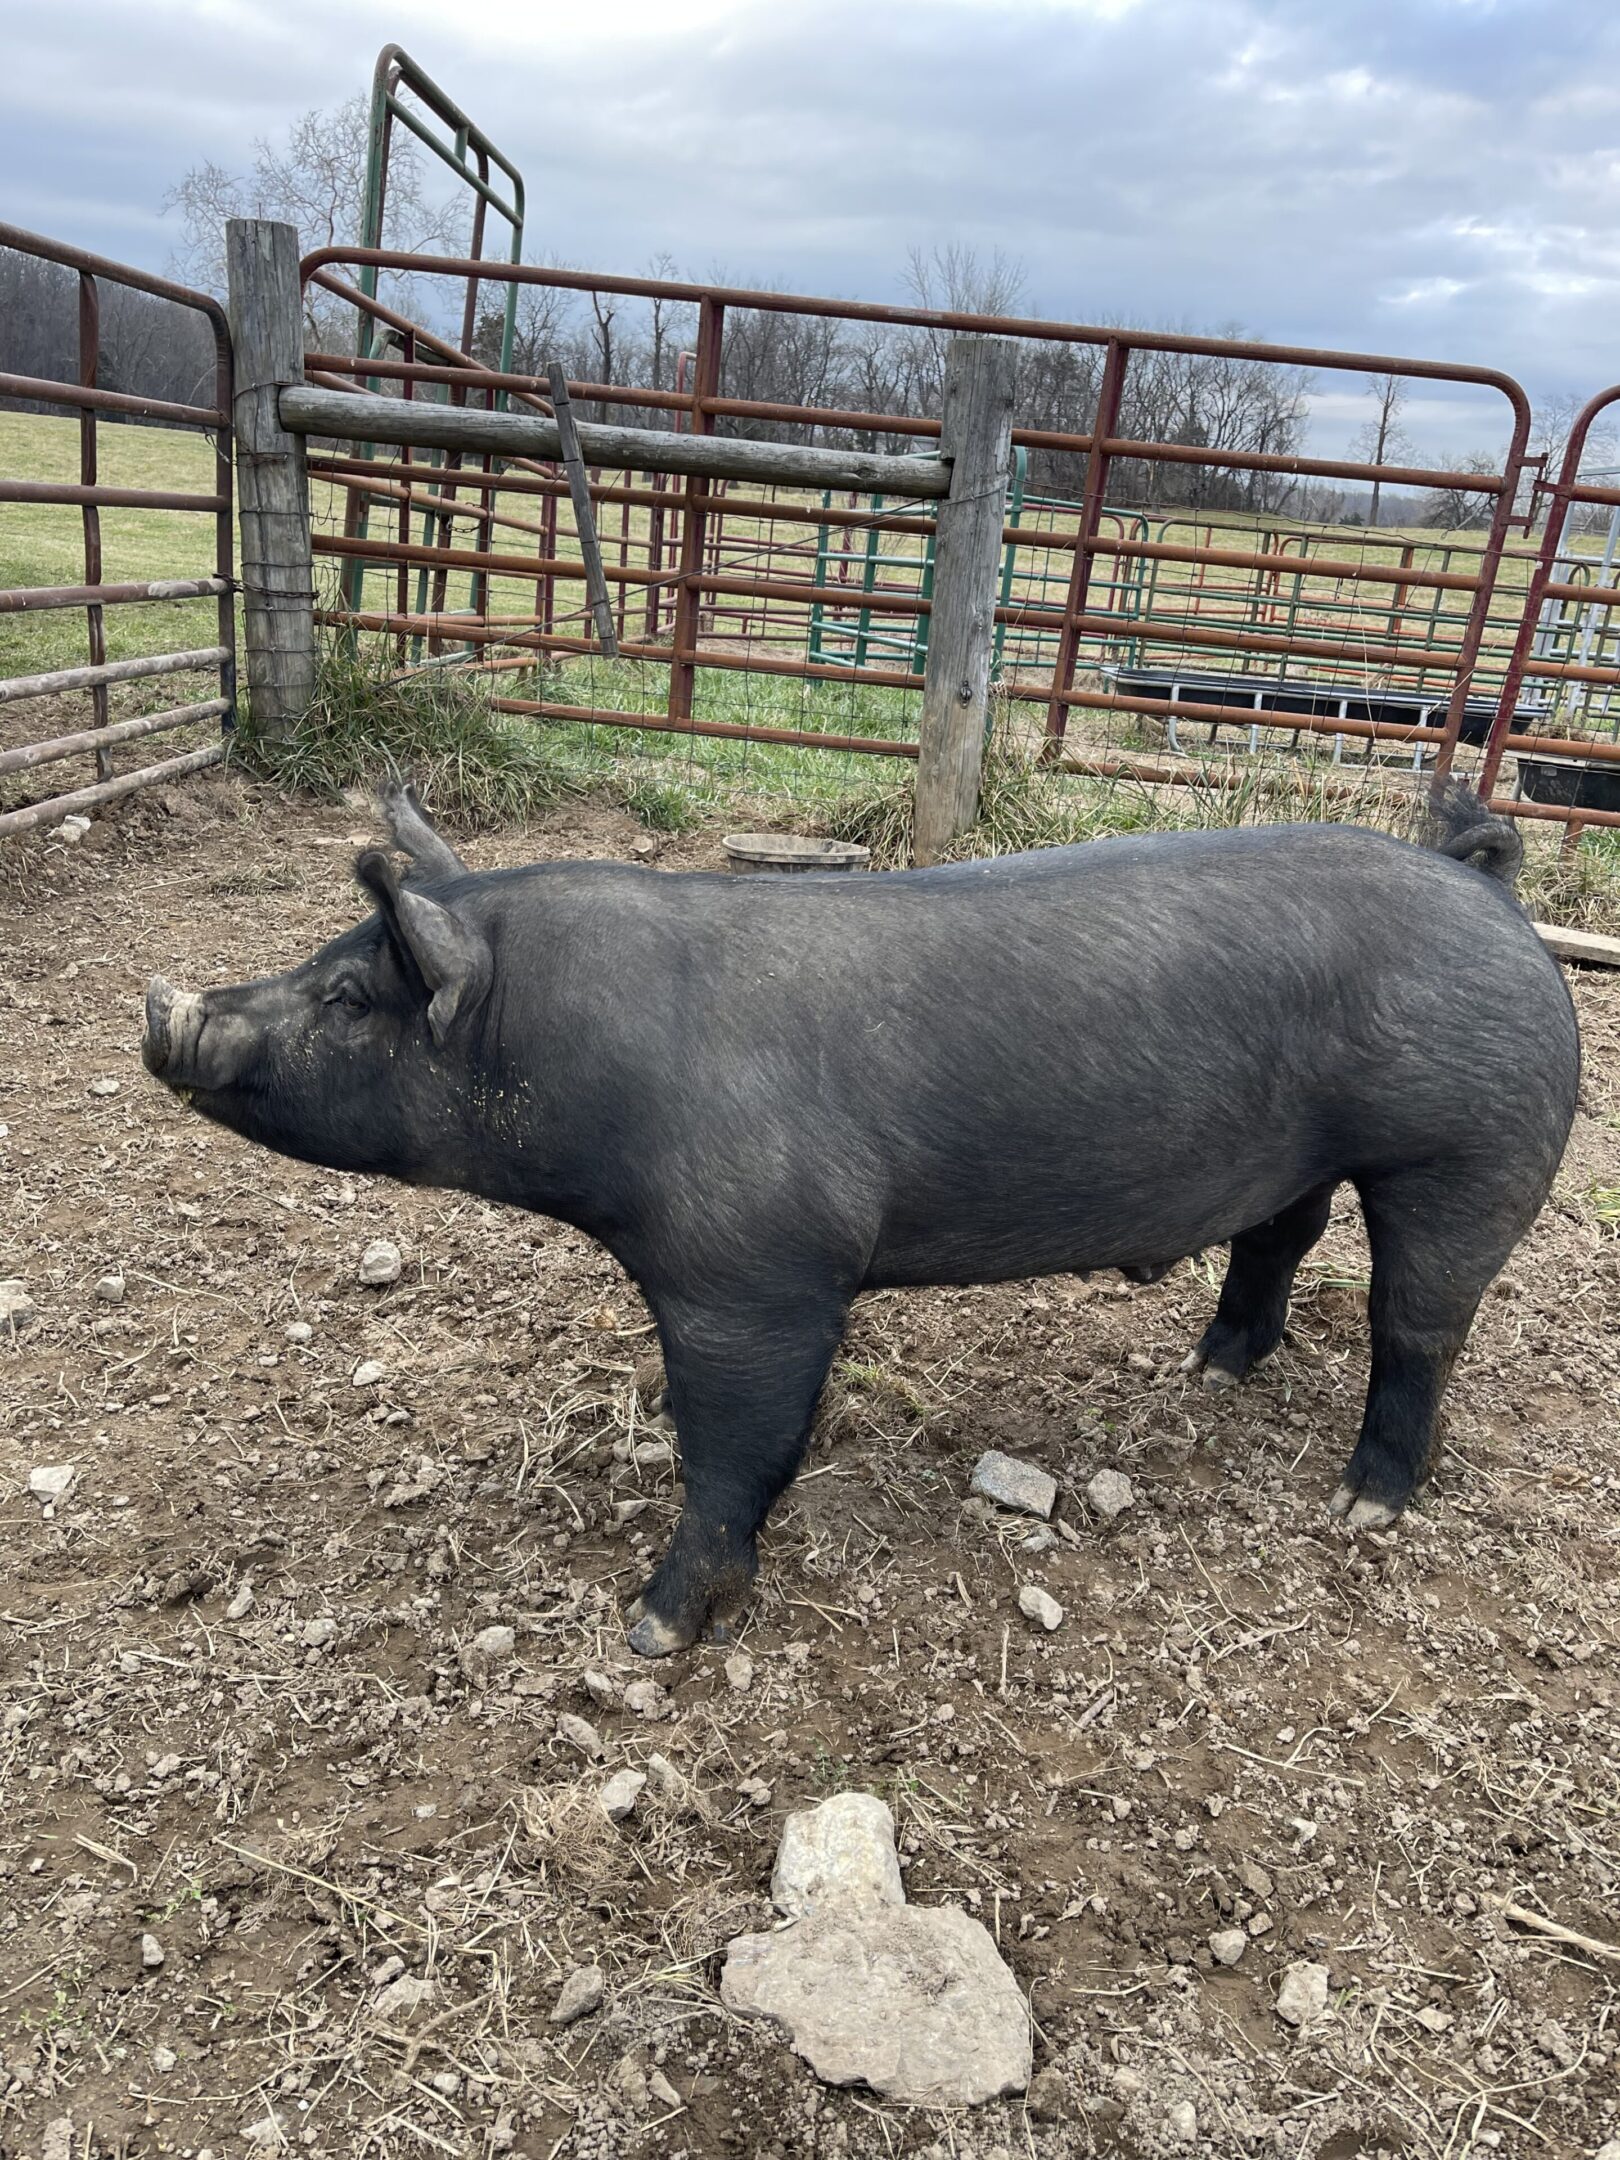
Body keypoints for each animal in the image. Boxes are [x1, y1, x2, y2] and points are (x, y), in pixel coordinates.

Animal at [142, 781, 1579, 1657]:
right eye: (325, 966)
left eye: (346, 999)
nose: (167, 1007)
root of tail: (1490, 893)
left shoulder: (755, 1274)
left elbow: (736, 1449)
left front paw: (652, 1631)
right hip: (1307, 1154)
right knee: (1281, 1237)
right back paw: (1211, 1369)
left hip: (1470, 1146)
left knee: (1419, 1322)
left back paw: (1364, 1506)